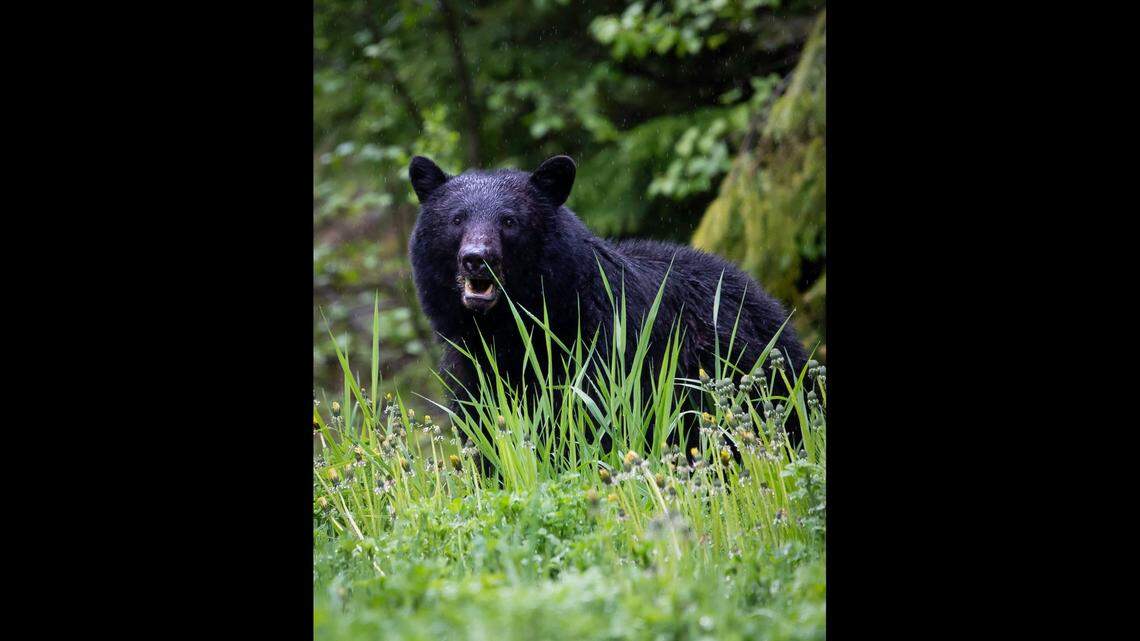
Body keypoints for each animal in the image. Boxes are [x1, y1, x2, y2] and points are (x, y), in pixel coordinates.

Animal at [407, 154, 809, 459]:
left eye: (509, 221)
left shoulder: (603, 349)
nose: (477, 259)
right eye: (456, 219)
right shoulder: (469, 367)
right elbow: (484, 430)